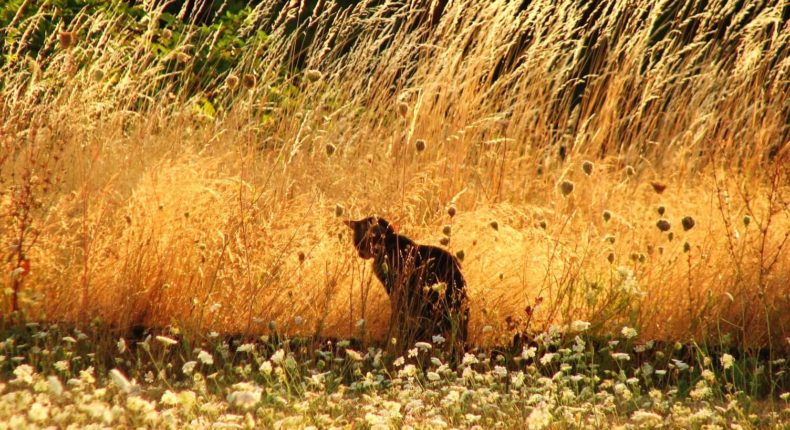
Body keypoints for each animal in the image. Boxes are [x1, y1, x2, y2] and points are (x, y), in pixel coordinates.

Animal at [344, 217, 468, 352]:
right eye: (356, 243)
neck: (388, 242)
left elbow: (397, 315)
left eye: (364, 241)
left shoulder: (396, 292)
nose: (360, 253)